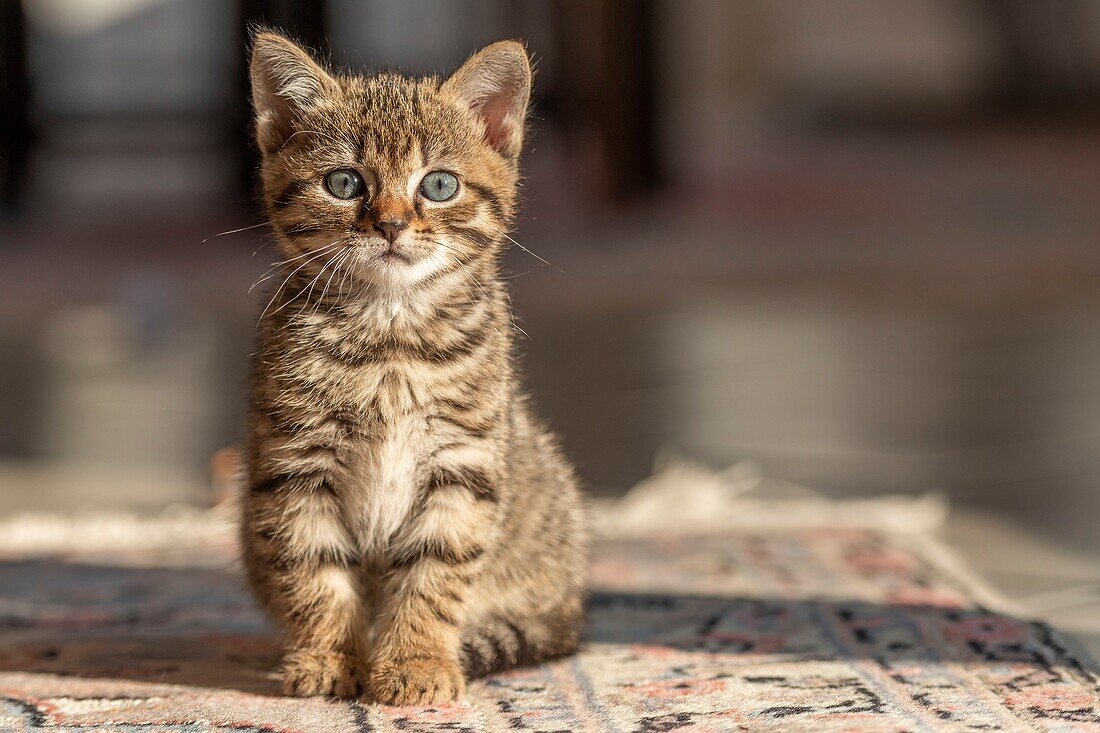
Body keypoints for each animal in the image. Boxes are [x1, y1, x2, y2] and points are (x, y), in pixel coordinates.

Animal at [237, 31, 589, 704]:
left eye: (440, 185)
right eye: (344, 182)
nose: (393, 224)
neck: (391, 341)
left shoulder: (463, 463)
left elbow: (435, 574)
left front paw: (415, 663)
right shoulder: (296, 466)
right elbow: (313, 570)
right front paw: (328, 657)